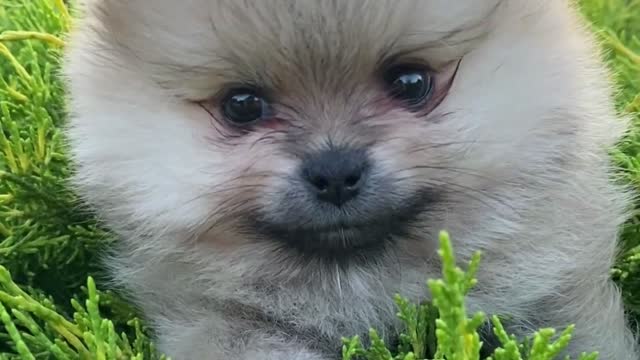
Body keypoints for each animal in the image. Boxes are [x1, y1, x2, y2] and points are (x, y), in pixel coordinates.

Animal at [63, 1, 640, 358]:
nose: (335, 171)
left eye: (411, 81)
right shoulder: (227, 322)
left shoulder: (553, 295)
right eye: (242, 104)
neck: (360, 289)